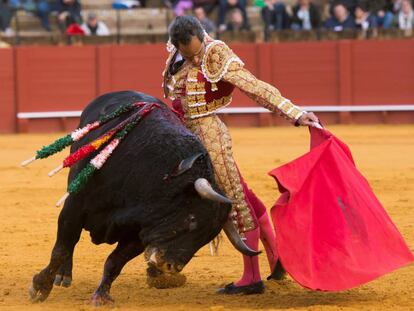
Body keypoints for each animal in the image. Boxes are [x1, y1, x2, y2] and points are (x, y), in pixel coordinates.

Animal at [28, 91, 258, 306]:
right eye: (192, 219)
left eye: (207, 237)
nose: (170, 267)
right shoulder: (74, 207)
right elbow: (62, 249)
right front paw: (40, 287)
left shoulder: (140, 233)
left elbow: (115, 262)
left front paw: (102, 296)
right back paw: (63, 276)